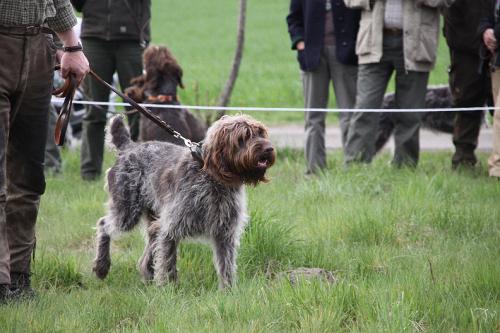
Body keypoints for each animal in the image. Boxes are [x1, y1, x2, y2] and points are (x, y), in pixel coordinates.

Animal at [92, 113, 276, 286]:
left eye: (261, 133)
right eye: (244, 136)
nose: (270, 149)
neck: (214, 177)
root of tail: (129, 146)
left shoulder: (225, 233)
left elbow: (226, 267)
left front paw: (228, 291)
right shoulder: (170, 228)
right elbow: (168, 263)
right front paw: (168, 288)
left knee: (146, 253)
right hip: (127, 211)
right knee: (103, 225)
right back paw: (102, 266)